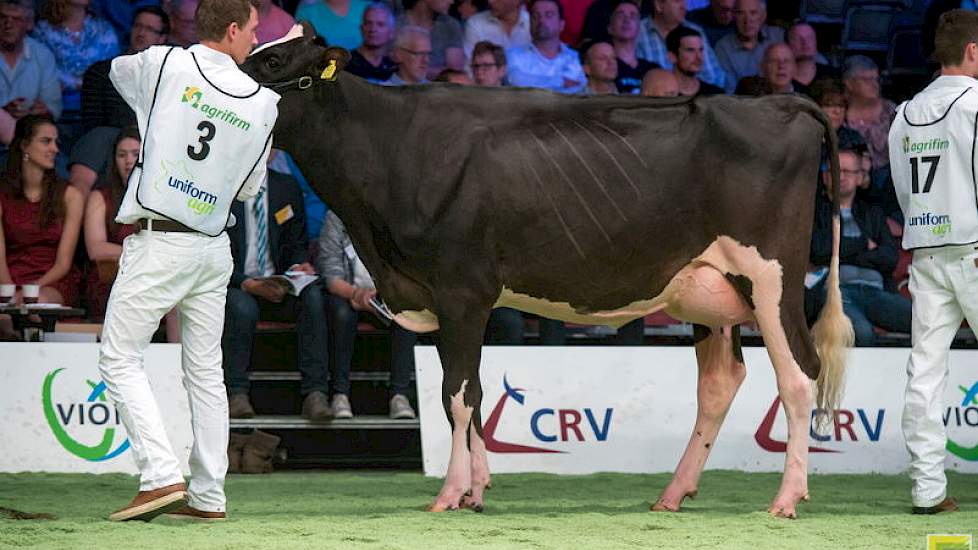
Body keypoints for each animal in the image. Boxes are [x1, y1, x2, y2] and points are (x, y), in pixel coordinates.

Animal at [244, 23, 856, 520]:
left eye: (274, 63)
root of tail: (783, 104)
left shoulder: (462, 289)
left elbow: (457, 395)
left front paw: (451, 494)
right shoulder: (441, 299)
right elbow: (469, 395)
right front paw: (477, 491)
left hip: (771, 277)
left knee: (799, 375)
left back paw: (785, 499)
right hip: (709, 290)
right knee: (720, 384)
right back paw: (673, 494)